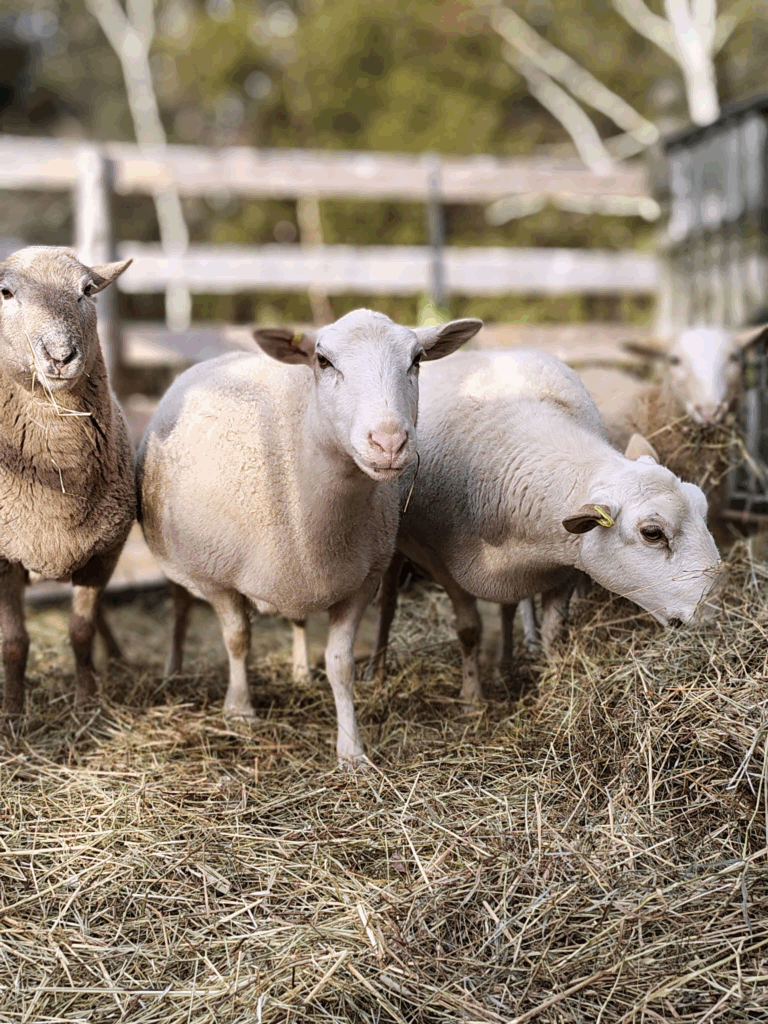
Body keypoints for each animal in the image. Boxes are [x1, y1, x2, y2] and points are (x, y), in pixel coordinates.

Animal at [0, 246, 136, 715]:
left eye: (88, 290)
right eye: (5, 292)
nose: (61, 356)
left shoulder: (103, 552)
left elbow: (81, 630)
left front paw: (87, 701)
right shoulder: (5, 558)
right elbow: (14, 642)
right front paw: (14, 710)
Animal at [137, 309, 482, 763]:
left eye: (417, 360)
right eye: (323, 361)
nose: (389, 442)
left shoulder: (361, 583)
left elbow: (340, 664)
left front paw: (351, 751)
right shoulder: (218, 580)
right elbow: (237, 640)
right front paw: (240, 711)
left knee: (298, 620)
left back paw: (301, 671)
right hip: (181, 559)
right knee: (180, 608)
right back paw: (172, 670)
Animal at [370, 348, 723, 702]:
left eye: (703, 504)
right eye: (652, 533)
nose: (713, 614)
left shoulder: (567, 565)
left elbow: (555, 630)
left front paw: (555, 681)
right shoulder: (442, 566)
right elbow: (469, 631)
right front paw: (472, 699)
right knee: (388, 602)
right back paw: (378, 671)